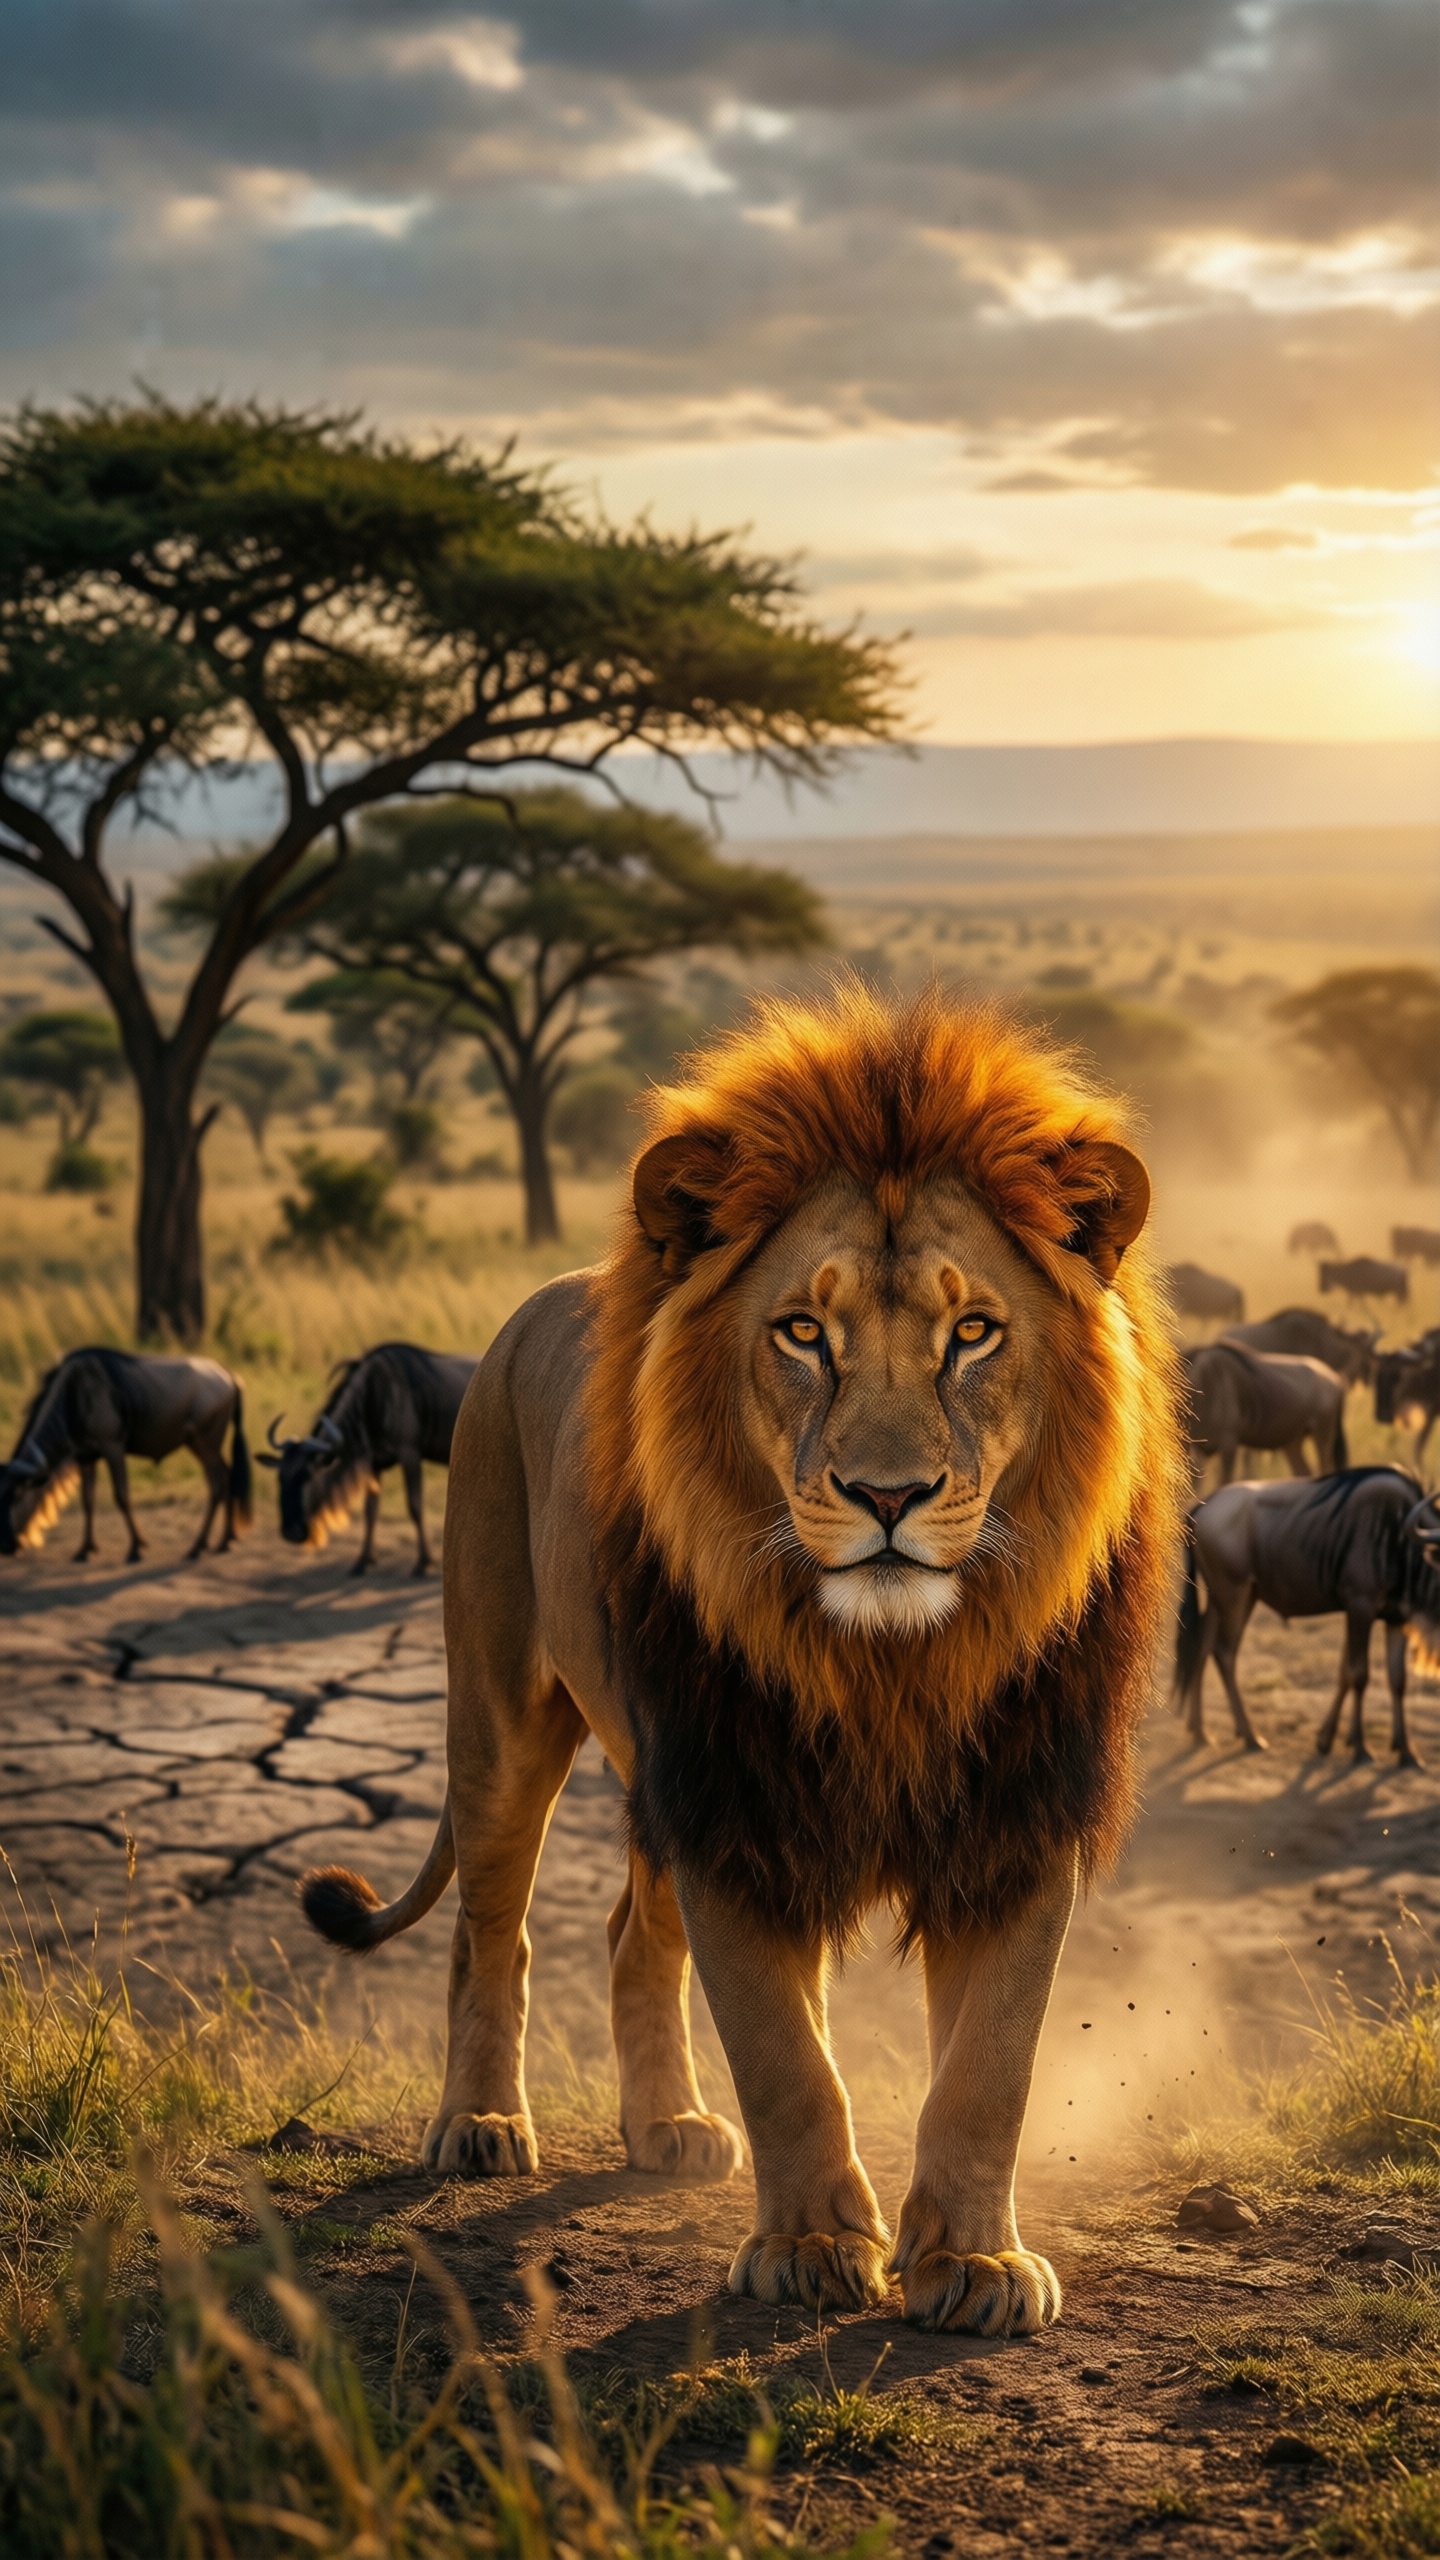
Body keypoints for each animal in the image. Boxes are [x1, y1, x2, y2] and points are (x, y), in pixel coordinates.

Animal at [300, 988, 1182, 2335]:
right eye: (803, 1333)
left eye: (974, 1332)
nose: (887, 1495)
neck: (888, 1662)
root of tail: (535, 1305)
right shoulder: (733, 1800)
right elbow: (784, 2057)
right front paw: (812, 2247)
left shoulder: (1017, 1815)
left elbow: (990, 2065)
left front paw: (974, 2263)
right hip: (509, 1719)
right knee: (490, 1930)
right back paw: (483, 2123)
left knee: (629, 1932)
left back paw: (667, 2124)